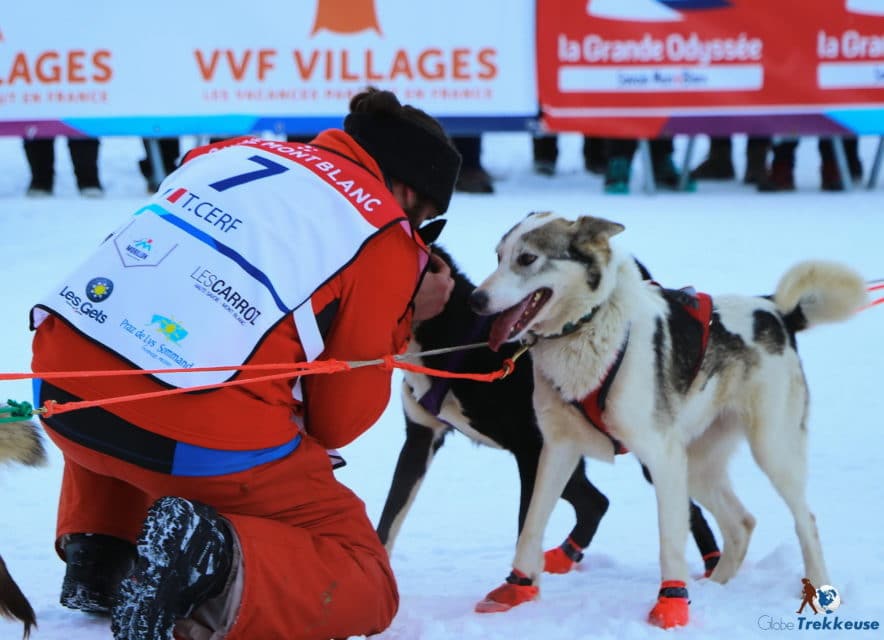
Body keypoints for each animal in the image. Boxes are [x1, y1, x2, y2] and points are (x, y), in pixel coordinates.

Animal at [470, 212, 872, 628]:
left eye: (527, 258)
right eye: (498, 256)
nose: (476, 300)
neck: (587, 327)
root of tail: (773, 310)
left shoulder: (661, 457)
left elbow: (670, 540)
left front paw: (671, 605)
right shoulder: (557, 450)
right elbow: (531, 526)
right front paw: (516, 589)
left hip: (772, 450)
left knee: (805, 519)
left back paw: (821, 588)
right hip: (696, 466)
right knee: (741, 522)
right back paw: (717, 585)